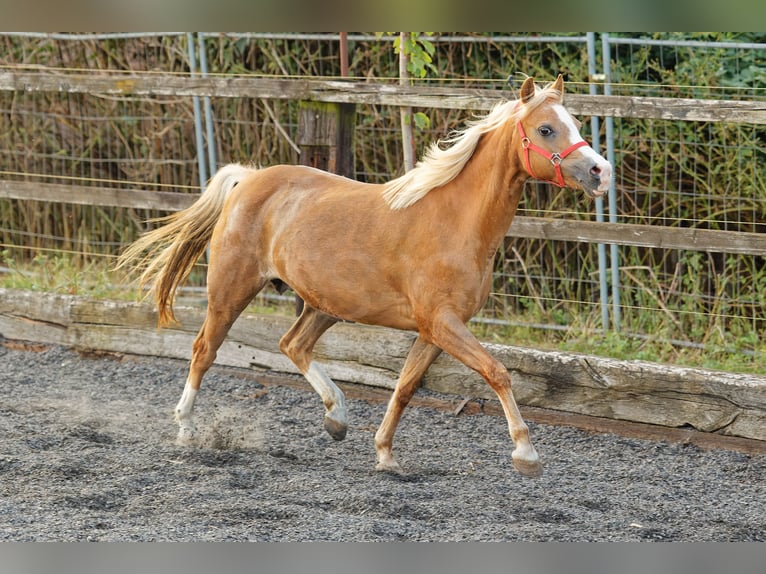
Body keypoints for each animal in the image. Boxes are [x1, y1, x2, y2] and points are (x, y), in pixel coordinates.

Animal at [118, 76, 612, 482]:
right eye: (546, 129)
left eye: (574, 122)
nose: (600, 172)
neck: (456, 223)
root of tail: (249, 179)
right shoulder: (443, 323)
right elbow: (498, 372)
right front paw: (526, 455)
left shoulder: (432, 331)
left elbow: (405, 388)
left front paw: (385, 454)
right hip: (231, 289)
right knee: (205, 349)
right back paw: (186, 428)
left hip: (326, 304)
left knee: (292, 345)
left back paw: (336, 417)